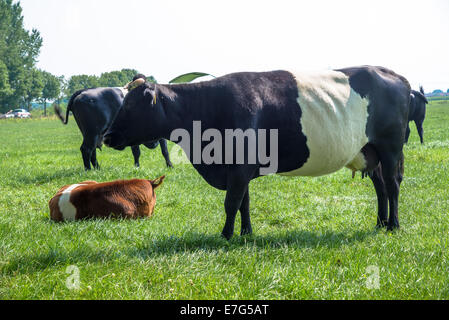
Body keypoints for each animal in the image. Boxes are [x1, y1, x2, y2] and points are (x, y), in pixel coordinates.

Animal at [104, 65, 410, 240]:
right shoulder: (240, 168)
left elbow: (231, 202)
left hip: (390, 147)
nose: (107, 136)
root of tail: (395, 75)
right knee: (381, 186)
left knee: (392, 185)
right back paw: (380, 223)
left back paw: (393, 225)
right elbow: (244, 202)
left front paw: (226, 235)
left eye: (130, 105)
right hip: (370, 151)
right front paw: (246, 233)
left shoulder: (239, 166)